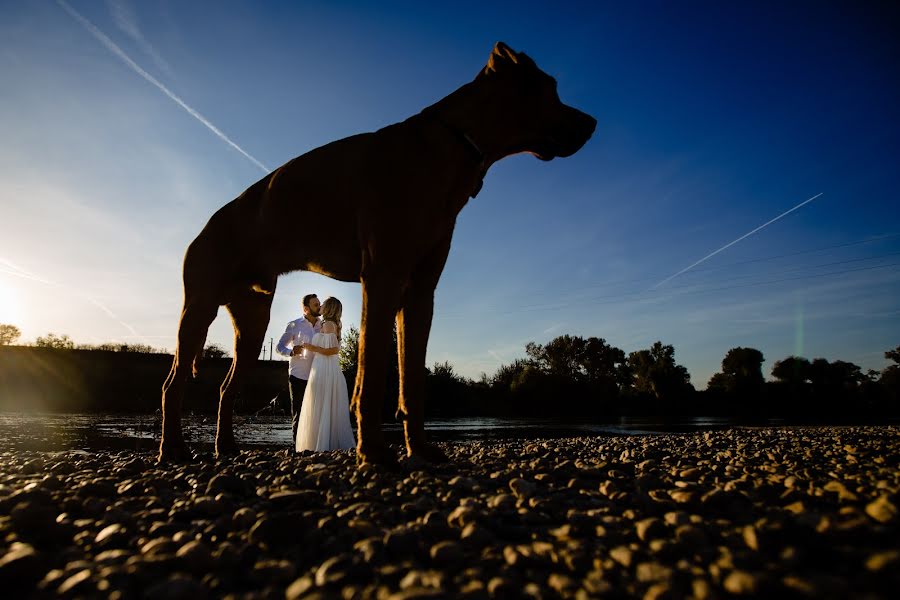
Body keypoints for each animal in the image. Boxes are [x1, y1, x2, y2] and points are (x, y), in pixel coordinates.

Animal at [160, 41, 596, 464]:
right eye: (550, 88)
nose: (592, 123)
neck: (449, 147)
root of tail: (205, 226)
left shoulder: (420, 292)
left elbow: (412, 381)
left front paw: (418, 450)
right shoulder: (383, 277)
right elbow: (370, 378)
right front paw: (372, 453)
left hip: (251, 324)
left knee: (225, 389)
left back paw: (225, 447)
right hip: (198, 309)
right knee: (172, 383)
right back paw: (173, 450)